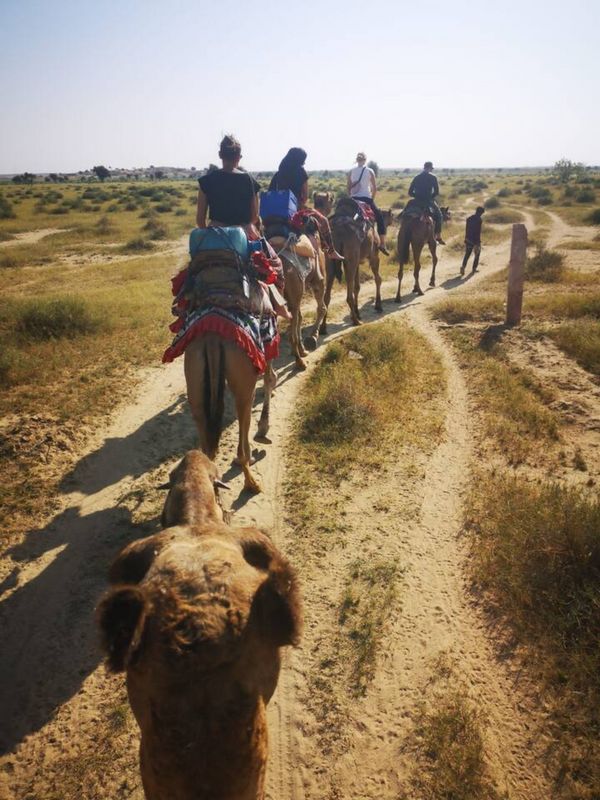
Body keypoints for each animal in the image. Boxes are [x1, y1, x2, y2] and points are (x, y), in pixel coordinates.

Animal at [322, 198, 392, 332]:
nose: (394, 220)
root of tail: (338, 231)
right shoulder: (374, 256)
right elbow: (378, 279)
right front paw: (378, 306)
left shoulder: (358, 262)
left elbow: (357, 287)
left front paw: (357, 312)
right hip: (351, 258)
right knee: (348, 294)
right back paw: (356, 321)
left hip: (331, 260)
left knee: (327, 295)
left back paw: (323, 327)